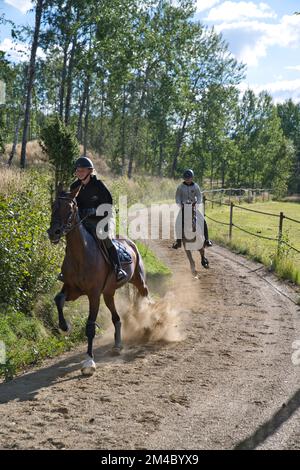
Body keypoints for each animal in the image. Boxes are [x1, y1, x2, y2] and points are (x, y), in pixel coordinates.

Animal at [47, 187, 149, 374]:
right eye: (53, 206)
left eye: (70, 210)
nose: (53, 232)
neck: (80, 254)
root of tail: (130, 242)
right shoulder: (72, 289)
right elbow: (58, 299)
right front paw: (65, 326)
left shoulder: (93, 294)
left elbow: (90, 326)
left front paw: (89, 361)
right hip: (109, 293)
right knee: (116, 318)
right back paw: (117, 346)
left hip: (138, 280)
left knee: (145, 294)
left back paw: (149, 319)